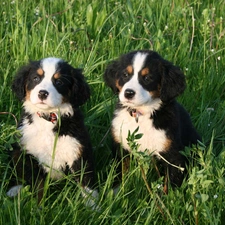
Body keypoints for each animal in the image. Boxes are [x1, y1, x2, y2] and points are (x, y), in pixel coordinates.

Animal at [7, 57, 96, 203]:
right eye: (36, 78)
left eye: (59, 82)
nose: (42, 93)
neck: (48, 118)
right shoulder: (31, 156)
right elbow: (39, 185)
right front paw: (39, 206)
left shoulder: (77, 150)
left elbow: (86, 182)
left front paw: (93, 204)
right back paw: (14, 189)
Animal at [103, 50, 200, 188]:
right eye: (125, 75)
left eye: (148, 78)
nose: (128, 93)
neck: (141, 114)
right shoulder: (121, 147)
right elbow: (119, 173)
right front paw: (116, 190)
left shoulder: (172, 154)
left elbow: (170, 184)